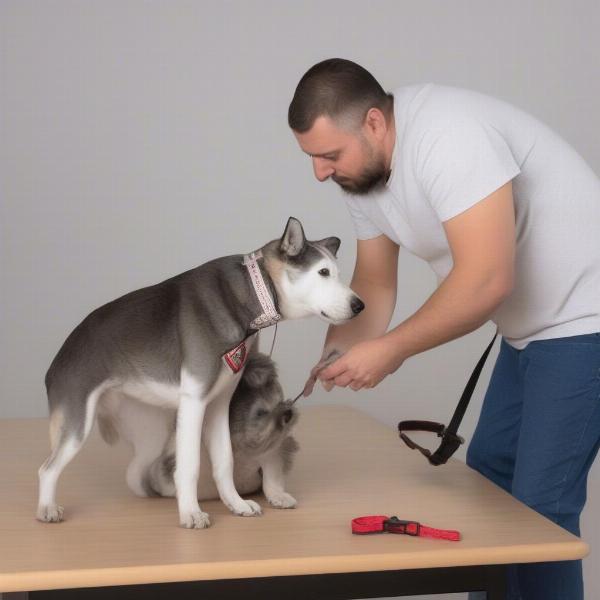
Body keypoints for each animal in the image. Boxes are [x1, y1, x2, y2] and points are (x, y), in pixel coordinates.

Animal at [38, 218, 366, 528]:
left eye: (337, 273)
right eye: (323, 272)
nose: (359, 305)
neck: (249, 292)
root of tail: (63, 352)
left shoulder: (218, 404)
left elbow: (224, 462)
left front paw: (236, 504)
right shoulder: (194, 402)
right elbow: (190, 466)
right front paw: (190, 513)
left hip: (151, 430)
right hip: (77, 425)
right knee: (47, 468)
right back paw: (46, 509)